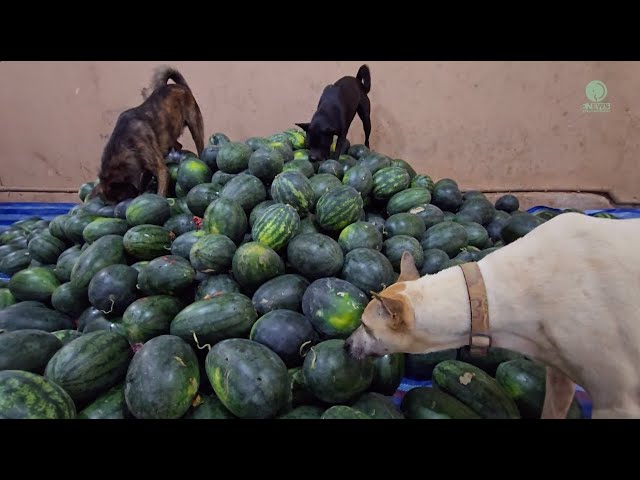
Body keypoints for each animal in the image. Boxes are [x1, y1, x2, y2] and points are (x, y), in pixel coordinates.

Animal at [89, 65, 204, 202]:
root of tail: (181, 86)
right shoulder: (145, 167)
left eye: (121, 199)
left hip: (195, 126)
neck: (122, 144)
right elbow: (143, 184)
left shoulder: (160, 170)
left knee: (199, 145)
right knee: (178, 145)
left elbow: (159, 190)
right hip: (168, 137)